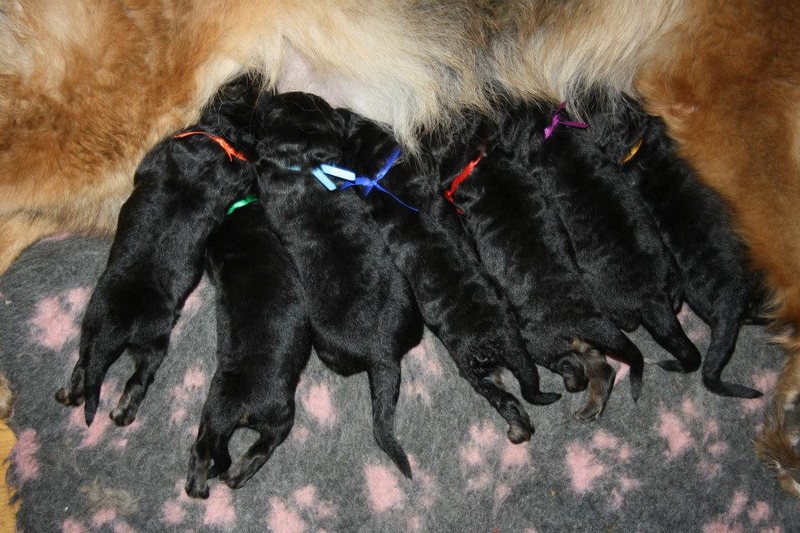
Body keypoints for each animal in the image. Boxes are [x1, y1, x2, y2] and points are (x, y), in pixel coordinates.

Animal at [54, 75, 263, 426]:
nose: (254, 74)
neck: (223, 137)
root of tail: (122, 323)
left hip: (125, 332)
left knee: (118, 370)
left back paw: (110, 406)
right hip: (121, 331)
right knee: (100, 365)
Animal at [185, 200, 313, 498]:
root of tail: (242, 405)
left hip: (213, 408)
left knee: (203, 448)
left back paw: (200, 485)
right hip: (281, 417)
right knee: (261, 447)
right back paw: (234, 477)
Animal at [438, 105, 644, 421]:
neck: (478, 158)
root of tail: (588, 320)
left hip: (537, 342)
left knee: (571, 366)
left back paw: (571, 384)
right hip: (587, 343)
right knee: (603, 369)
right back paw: (591, 406)